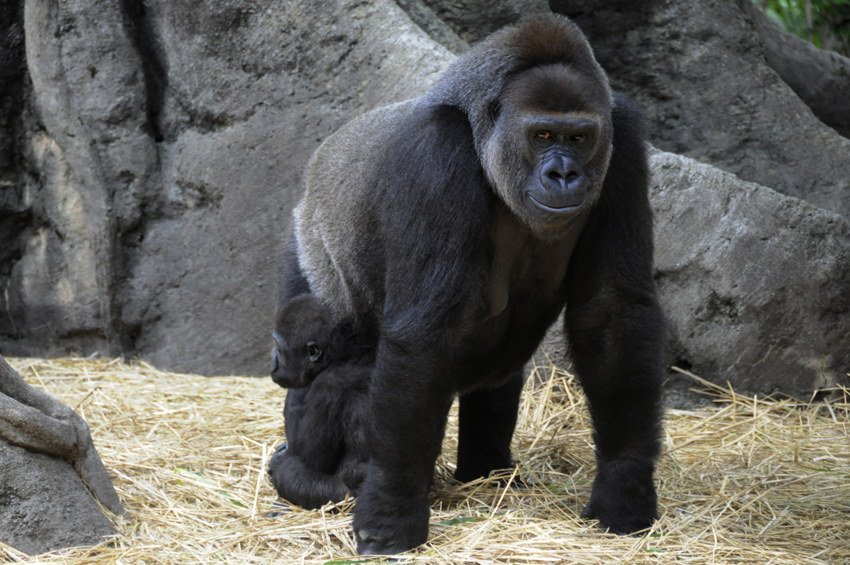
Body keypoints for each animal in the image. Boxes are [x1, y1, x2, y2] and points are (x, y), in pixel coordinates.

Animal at [264, 294, 372, 508]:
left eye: (279, 347)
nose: (272, 358)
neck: (341, 357)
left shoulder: (326, 387)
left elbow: (310, 461)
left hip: (346, 500)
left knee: (291, 472)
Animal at [278, 14, 664, 556]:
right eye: (543, 134)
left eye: (579, 138)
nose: (564, 174)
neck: (486, 136)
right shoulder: (437, 152)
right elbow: (423, 333)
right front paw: (392, 512)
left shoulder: (621, 139)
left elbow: (612, 314)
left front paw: (624, 490)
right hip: (307, 252)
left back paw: (487, 472)